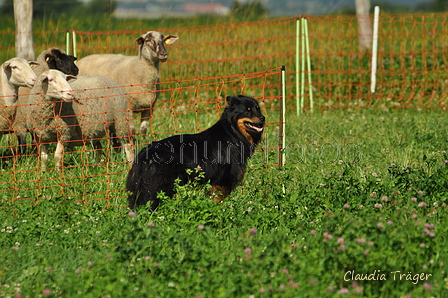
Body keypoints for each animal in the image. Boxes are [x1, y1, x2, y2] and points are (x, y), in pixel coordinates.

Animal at [125, 95, 266, 210]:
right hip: (158, 188)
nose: (263, 118)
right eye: (247, 110)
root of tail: (145, 153)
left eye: (257, 108)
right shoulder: (222, 181)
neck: (233, 133)